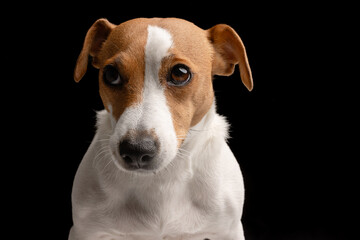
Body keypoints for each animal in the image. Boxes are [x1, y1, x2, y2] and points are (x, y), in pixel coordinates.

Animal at [69, 17, 253, 240]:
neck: (162, 179)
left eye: (180, 73)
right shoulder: (86, 231)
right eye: (111, 74)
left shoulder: (228, 230)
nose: (136, 150)